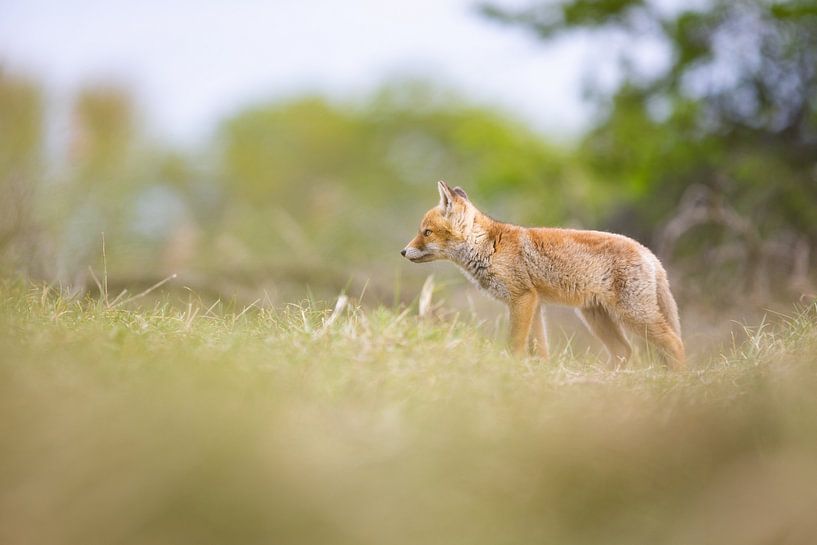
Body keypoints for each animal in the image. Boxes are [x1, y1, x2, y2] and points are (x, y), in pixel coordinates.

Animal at [398, 181, 684, 368]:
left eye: (426, 232)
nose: (402, 251)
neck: (488, 247)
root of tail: (649, 252)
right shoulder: (534, 305)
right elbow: (540, 349)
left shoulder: (522, 299)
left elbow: (515, 343)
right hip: (595, 317)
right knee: (624, 351)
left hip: (633, 315)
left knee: (675, 343)